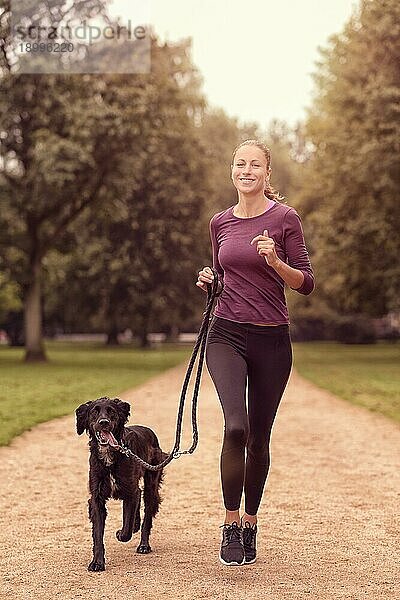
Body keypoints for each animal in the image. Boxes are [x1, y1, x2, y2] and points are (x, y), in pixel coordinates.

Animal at [75, 396, 167, 568]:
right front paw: (97, 562)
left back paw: (144, 545)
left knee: (146, 515)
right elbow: (98, 533)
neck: (110, 455)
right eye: (94, 412)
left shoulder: (130, 491)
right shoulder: (97, 497)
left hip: (151, 484)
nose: (103, 422)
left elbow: (126, 528)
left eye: (111, 411)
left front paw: (120, 533)